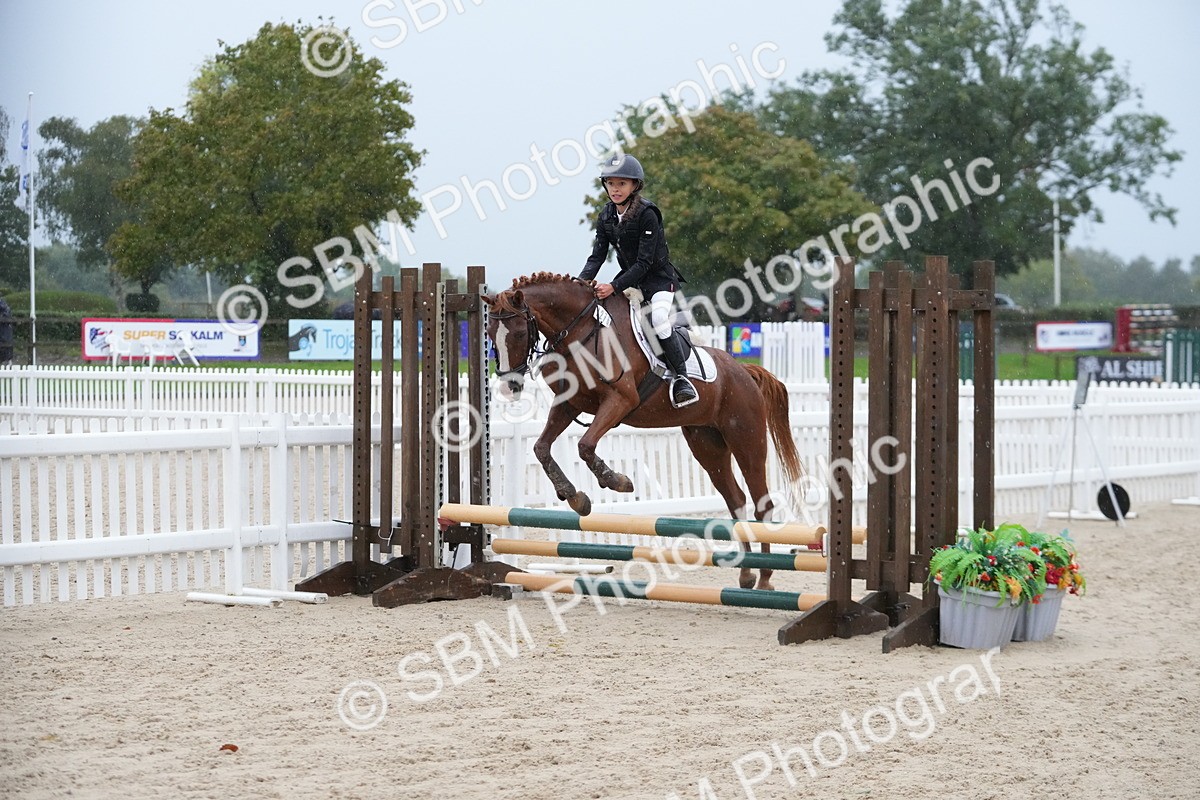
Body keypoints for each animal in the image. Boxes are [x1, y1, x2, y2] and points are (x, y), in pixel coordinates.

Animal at [482, 272, 805, 591]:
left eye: (519, 334)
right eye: (490, 335)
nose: (510, 387)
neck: (581, 332)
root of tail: (743, 370)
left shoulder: (620, 399)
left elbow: (585, 445)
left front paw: (617, 481)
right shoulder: (569, 404)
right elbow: (541, 448)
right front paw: (574, 496)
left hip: (746, 439)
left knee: (762, 504)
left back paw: (765, 577)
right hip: (707, 445)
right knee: (736, 500)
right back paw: (747, 573)